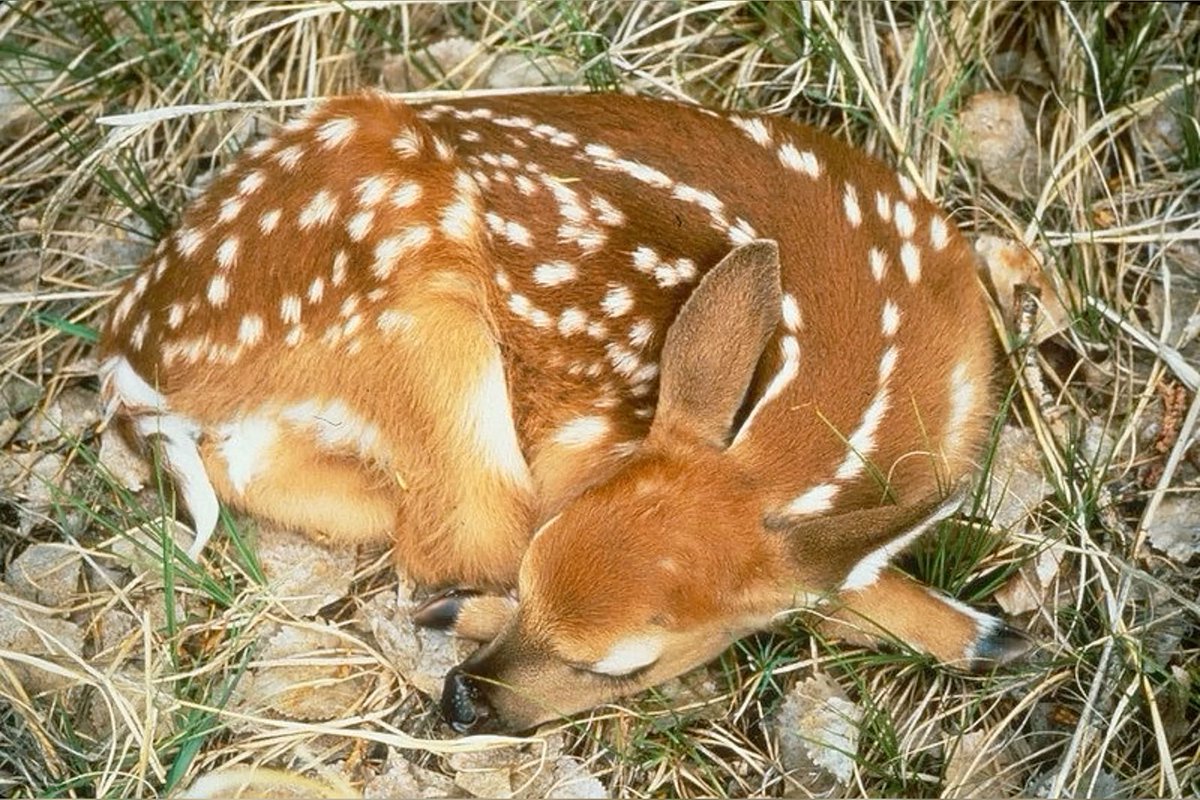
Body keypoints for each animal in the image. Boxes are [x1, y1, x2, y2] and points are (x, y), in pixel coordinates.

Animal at [99, 90, 1029, 735]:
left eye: (624, 667)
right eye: (536, 582)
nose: (462, 702)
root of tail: (129, 356)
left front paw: (974, 631)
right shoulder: (590, 446)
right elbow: (818, 582)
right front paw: (977, 629)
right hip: (424, 308)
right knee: (453, 538)